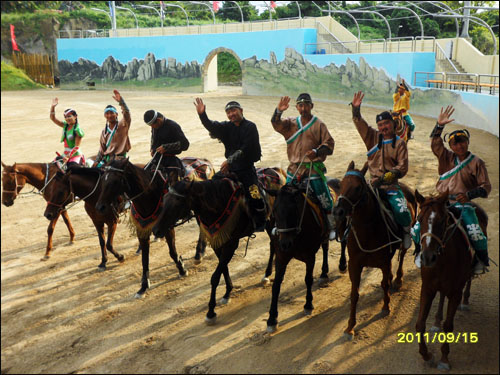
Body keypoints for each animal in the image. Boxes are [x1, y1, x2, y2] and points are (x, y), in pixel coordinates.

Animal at [96, 157, 215, 298]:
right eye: (103, 180)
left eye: (115, 180)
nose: (100, 207)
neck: (149, 196)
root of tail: (205, 161)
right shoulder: (142, 231)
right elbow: (144, 259)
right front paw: (143, 286)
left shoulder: (166, 228)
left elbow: (172, 252)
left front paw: (182, 269)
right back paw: (201, 251)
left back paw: (198, 254)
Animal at [151, 168, 286, 326]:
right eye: (165, 198)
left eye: (178, 201)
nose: (156, 230)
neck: (216, 202)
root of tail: (277, 172)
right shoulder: (218, 243)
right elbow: (224, 269)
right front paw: (227, 292)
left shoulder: (231, 244)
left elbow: (215, 277)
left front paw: (211, 312)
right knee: (272, 245)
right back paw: (267, 274)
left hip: (272, 222)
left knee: (273, 245)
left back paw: (267, 274)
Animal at [268, 178, 346, 334]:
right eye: (275, 211)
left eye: (293, 210)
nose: (285, 244)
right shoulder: (281, 257)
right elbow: (276, 285)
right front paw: (272, 319)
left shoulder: (310, 256)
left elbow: (308, 279)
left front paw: (308, 305)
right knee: (325, 247)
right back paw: (324, 274)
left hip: (343, 225)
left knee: (344, 242)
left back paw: (342, 265)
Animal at [332, 162, 418, 340]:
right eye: (341, 184)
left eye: (358, 187)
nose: (338, 212)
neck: (367, 230)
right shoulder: (354, 264)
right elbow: (354, 294)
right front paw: (350, 327)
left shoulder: (383, 262)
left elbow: (384, 284)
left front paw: (386, 306)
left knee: (402, 254)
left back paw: (398, 279)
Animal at [414, 189, 488, 372]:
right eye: (419, 219)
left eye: (442, 221)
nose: (427, 257)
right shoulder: (427, 288)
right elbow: (419, 324)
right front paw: (427, 355)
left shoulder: (455, 292)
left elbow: (449, 325)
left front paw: (444, 359)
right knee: (442, 296)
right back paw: (436, 320)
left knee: (469, 281)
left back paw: (466, 301)